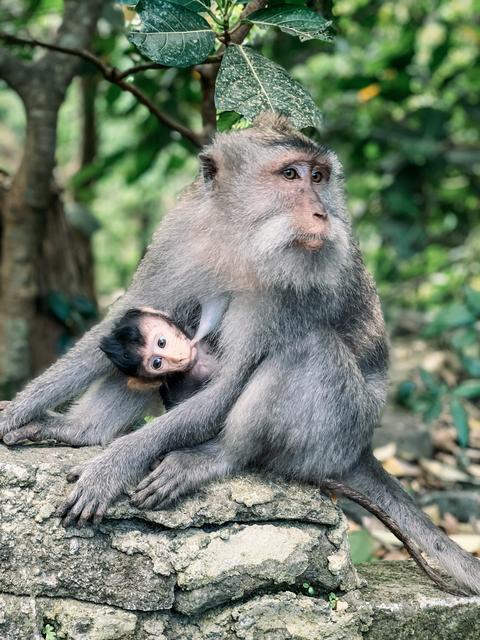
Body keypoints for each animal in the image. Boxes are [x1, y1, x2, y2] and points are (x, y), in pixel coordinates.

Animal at [0, 114, 480, 596]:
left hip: (337, 430)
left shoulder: (287, 289)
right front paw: (20, 412)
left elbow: (232, 380)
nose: (322, 212)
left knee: (308, 349)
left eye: (318, 177)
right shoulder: (179, 234)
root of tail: (360, 449)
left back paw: (216, 457)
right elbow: (124, 320)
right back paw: (82, 431)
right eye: (291, 174)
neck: (240, 236)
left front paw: (112, 468)